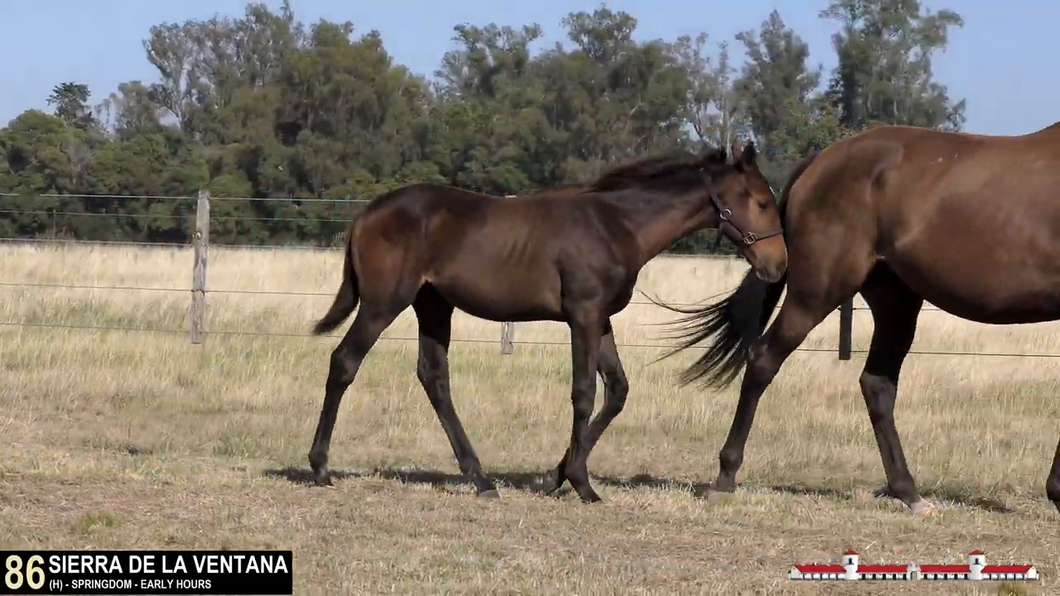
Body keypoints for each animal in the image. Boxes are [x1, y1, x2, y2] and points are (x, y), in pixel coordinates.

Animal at [307, 143, 788, 500]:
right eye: (763, 202)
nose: (778, 266)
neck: (617, 225)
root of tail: (366, 214)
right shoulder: (583, 315)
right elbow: (584, 393)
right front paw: (582, 484)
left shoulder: (601, 318)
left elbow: (616, 390)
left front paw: (558, 475)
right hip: (383, 303)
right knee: (344, 362)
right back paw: (320, 467)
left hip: (433, 306)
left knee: (433, 376)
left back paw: (480, 479)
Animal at [657, 121, 1060, 515]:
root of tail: (821, 161)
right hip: (817, 293)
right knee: (763, 361)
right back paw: (725, 478)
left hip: (895, 303)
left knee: (877, 384)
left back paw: (908, 492)